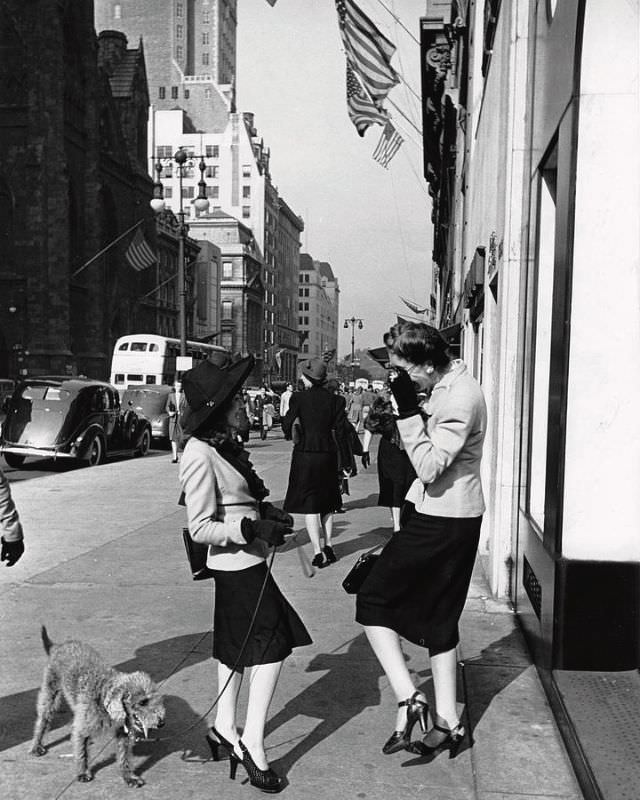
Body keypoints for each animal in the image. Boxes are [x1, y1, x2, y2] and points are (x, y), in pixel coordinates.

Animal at [29, 624, 165, 788]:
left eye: (156, 699)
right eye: (142, 702)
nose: (161, 723)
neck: (103, 699)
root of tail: (58, 646)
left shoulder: (123, 733)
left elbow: (124, 757)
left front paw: (129, 777)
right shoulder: (83, 729)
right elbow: (82, 752)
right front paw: (82, 772)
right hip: (50, 694)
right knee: (43, 720)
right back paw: (36, 746)